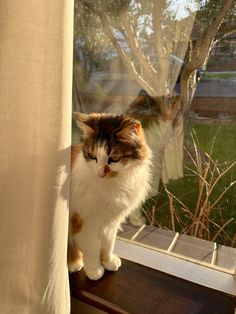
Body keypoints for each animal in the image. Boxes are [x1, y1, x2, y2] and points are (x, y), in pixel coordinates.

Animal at [68, 112, 153, 280]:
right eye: (92, 156)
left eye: (113, 159)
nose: (100, 173)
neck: (113, 185)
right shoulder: (84, 223)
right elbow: (92, 249)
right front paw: (95, 270)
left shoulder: (111, 222)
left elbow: (108, 245)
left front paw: (108, 262)